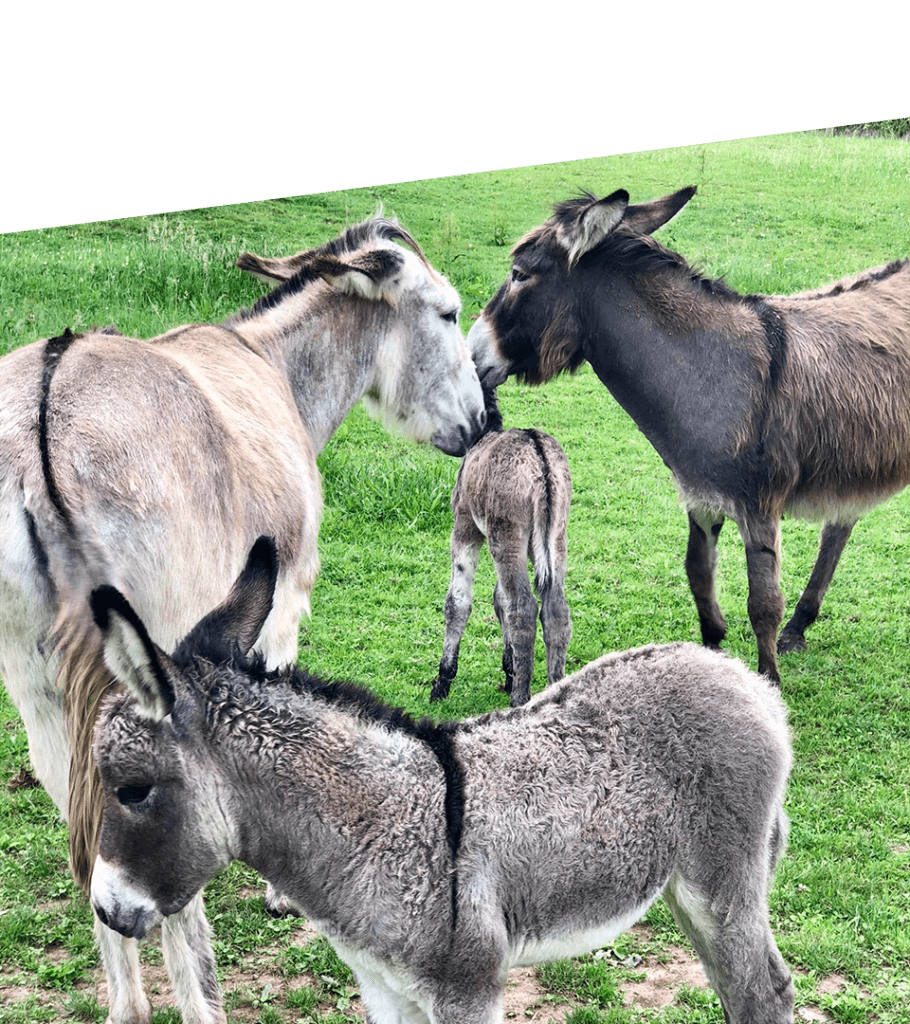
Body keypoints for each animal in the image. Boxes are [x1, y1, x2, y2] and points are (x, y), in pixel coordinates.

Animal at [88, 540, 790, 1024]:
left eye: (131, 790)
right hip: (683, 890)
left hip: (722, 884)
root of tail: (743, 679)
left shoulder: (467, 993)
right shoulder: (384, 989)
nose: (104, 910)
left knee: (765, 992)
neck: (374, 832)